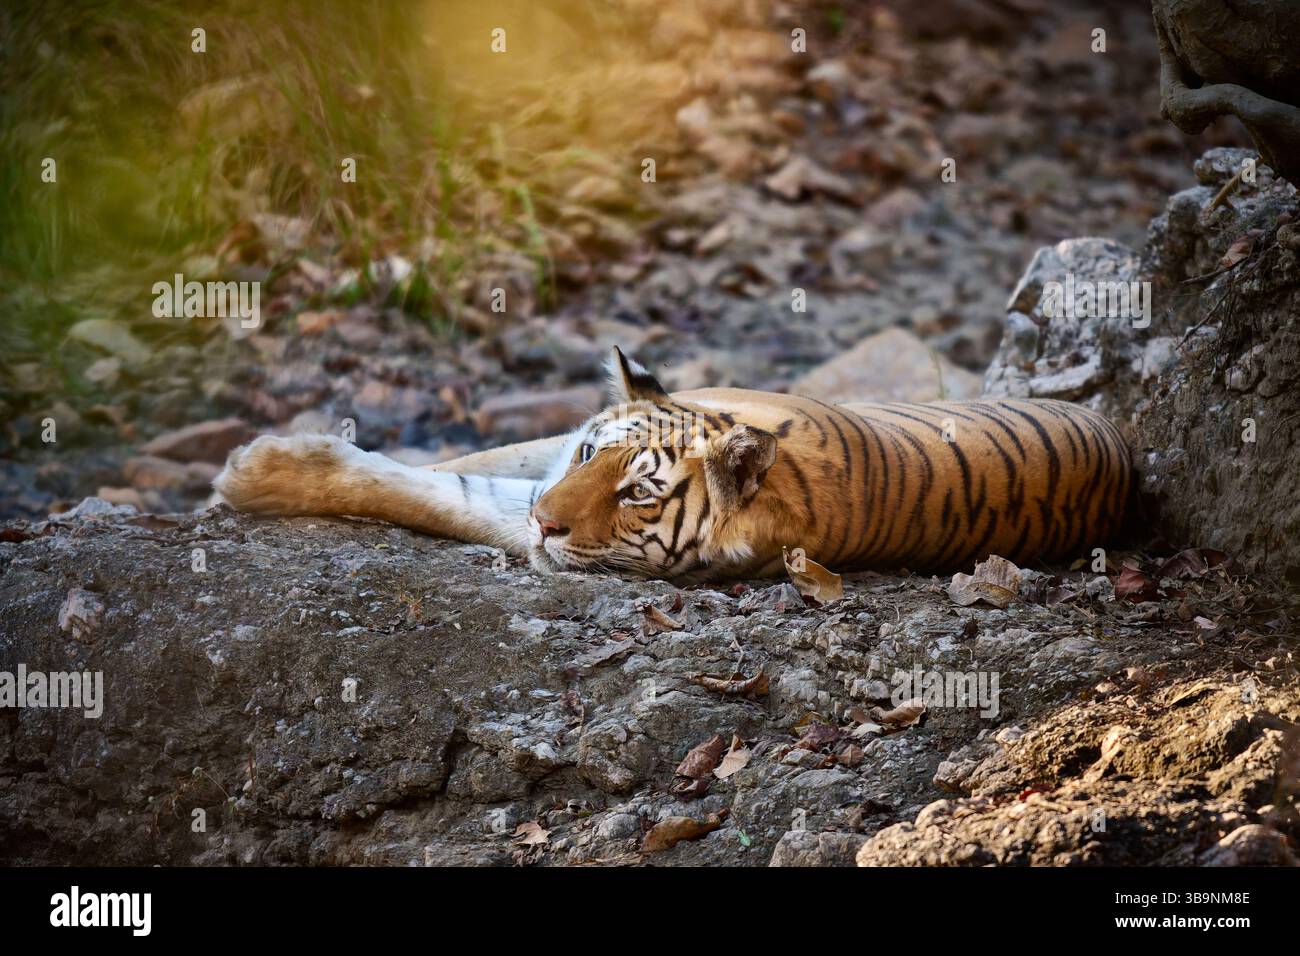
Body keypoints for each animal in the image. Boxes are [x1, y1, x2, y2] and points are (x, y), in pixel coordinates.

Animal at [213, 347, 1131, 582]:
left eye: (637, 494)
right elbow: (470, 466)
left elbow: (448, 493)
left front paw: (251, 475)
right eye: (591, 452)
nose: (547, 523)